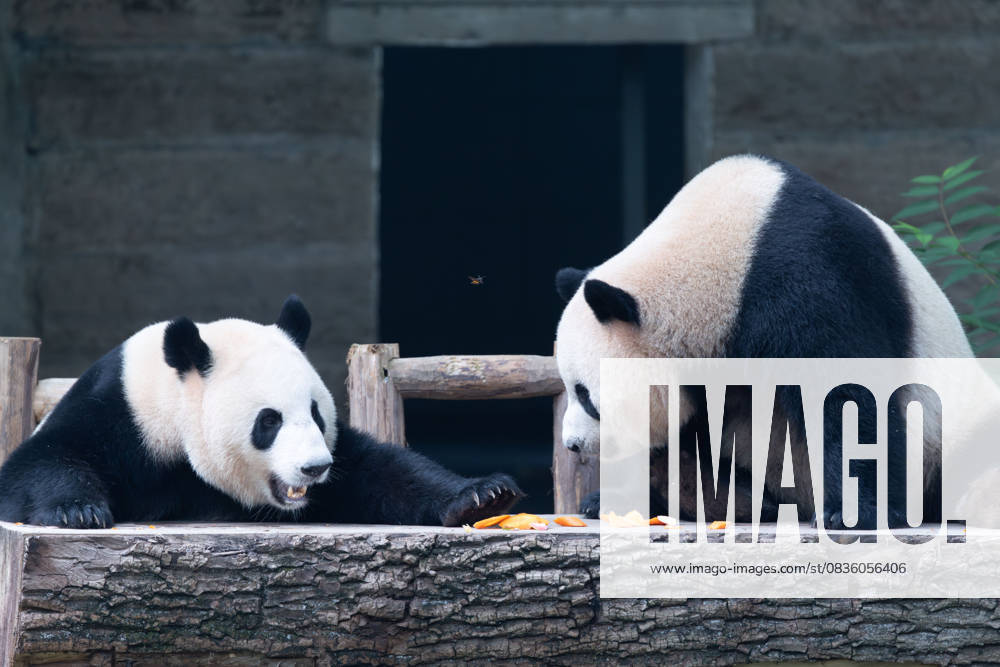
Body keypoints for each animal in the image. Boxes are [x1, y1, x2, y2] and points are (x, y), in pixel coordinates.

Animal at [0, 296, 521, 528]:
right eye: (269, 421)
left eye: (316, 414)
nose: (315, 468)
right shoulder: (119, 411)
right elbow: (36, 463)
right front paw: (78, 510)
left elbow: (382, 471)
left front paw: (483, 495)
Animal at [553, 154, 972, 526]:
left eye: (585, 395)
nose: (573, 444)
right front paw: (612, 496)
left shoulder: (808, 273)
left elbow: (846, 393)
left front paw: (856, 513)